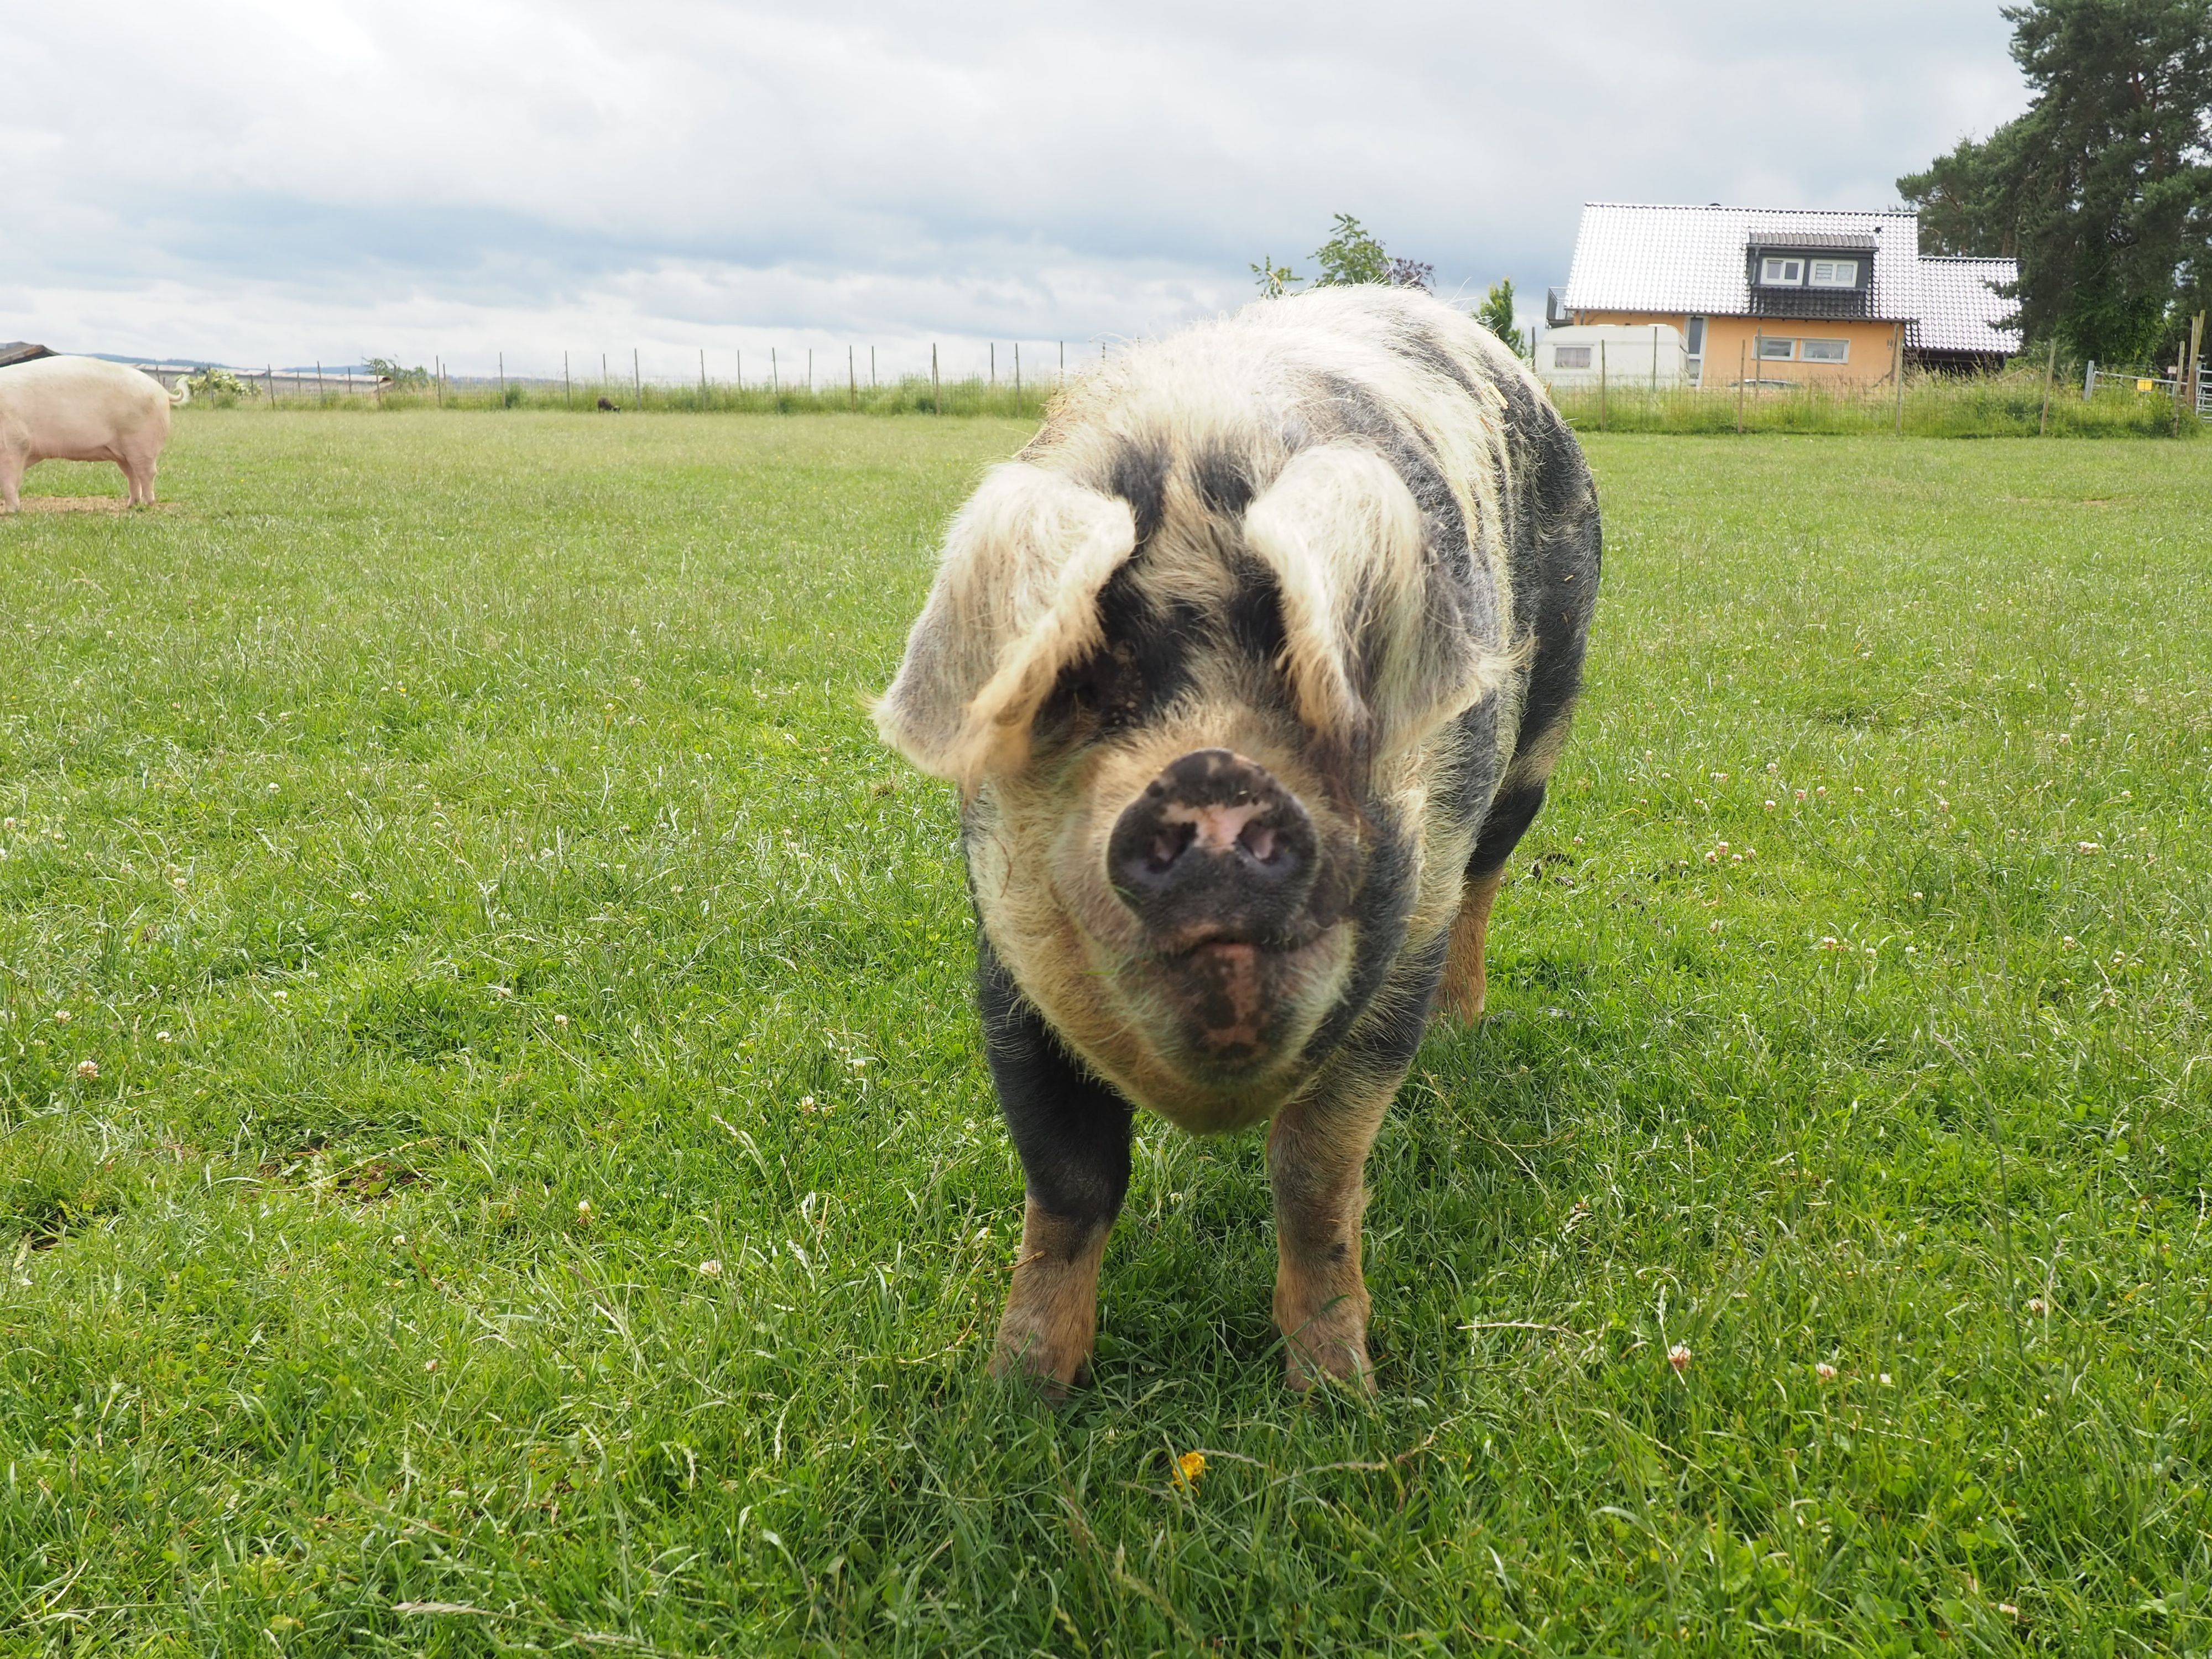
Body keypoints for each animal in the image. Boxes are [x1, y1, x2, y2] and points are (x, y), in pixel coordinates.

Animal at [0, 355, 188, 512]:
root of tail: (162, 391)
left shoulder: (14, 443)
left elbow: (9, 481)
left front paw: (9, 511)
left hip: (142, 444)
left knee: (148, 473)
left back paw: (148, 505)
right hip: (125, 454)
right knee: (133, 475)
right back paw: (131, 505)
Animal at [876, 286, 1601, 1393]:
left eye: (1299, 672)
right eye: (1089, 685)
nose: (1211, 775)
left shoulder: (1400, 956)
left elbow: (1316, 1178)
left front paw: (1339, 1395)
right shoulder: (1004, 959)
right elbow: (1069, 1181)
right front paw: (1017, 1393)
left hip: (1545, 720)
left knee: (1491, 872)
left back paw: (1464, 1027)